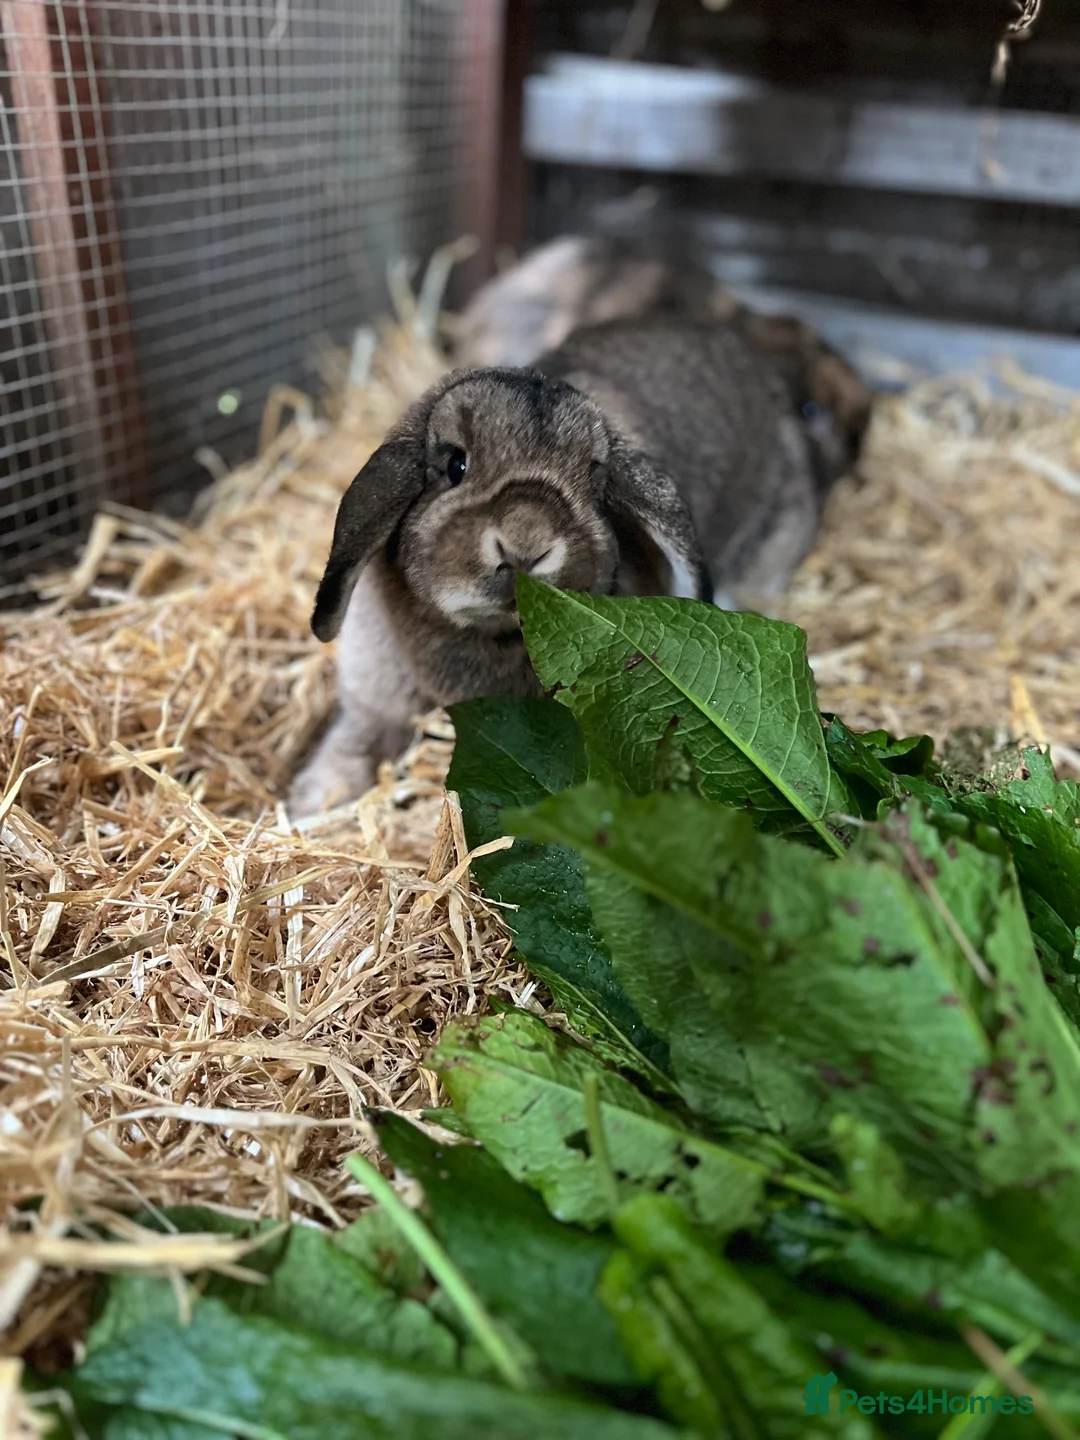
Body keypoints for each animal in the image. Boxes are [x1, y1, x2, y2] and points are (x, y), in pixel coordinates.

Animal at [288, 314, 857, 817]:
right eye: (455, 464)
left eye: (594, 482)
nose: (526, 544)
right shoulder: (374, 701)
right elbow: (358, 738)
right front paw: (312, 798)